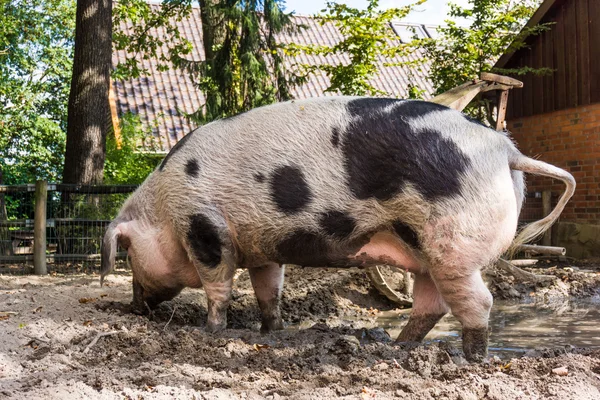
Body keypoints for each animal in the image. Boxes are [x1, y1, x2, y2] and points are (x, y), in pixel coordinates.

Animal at [99, 97, 576, 362]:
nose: (133, 307)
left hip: (452, 242)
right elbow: (268, 290)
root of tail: (505, 151)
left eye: (127, 253)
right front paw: (270, 333)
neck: (163, 210)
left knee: (478, 303)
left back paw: (470, 361)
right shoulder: (264, 246)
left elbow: (218, 284)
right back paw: (396, 347)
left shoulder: (203, 225)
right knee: (431, 303)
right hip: (426, 252)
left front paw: (210, 332)